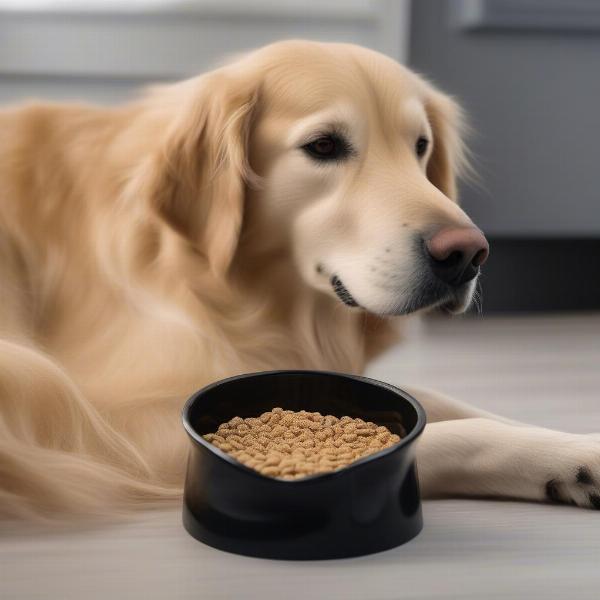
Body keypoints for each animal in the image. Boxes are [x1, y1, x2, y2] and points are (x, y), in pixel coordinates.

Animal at [0, 39, 596, 516]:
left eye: (421, 146)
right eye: (324, 146)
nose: (468, 254)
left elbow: (452, 405)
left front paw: (573, 449)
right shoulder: (116, 428)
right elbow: (441, 435)